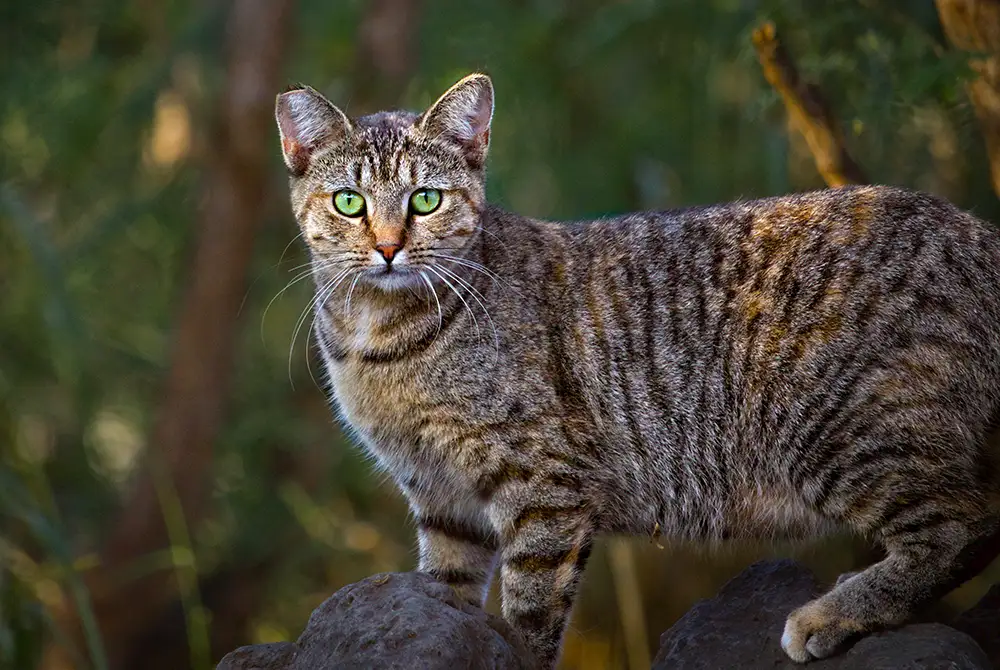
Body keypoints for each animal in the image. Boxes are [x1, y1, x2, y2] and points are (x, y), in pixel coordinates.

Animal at [274, 73, 1000, 668]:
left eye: (425, 200)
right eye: (348, 202)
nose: (388, 247)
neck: (379, 335)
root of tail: (976, 231)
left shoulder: (544, 484)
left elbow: (531, 613)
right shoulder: (440, 496)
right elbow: (445, 593)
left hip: (841, 427)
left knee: (958, 528)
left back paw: (834, 614)